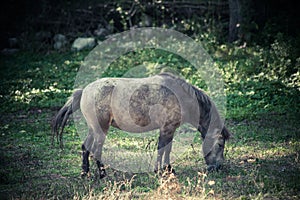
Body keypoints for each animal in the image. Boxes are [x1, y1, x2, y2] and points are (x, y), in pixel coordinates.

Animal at [51, 72, 231, 178]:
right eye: (220, 144)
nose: (218, 167)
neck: (181, 96)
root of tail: (84, 91)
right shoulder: (167, 128)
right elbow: (163, 149)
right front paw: (162, 170)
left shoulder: (168, 129)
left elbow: (166, 149)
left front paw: (167, 169)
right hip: (101, 130)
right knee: (96, 150)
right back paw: (102, 175)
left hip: (92, 130)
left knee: (85, 147)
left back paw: (85, 172)